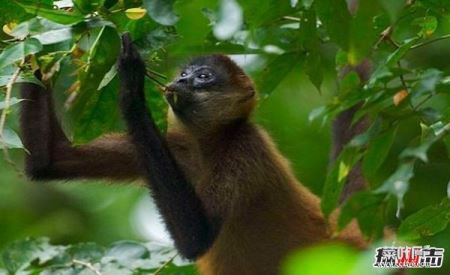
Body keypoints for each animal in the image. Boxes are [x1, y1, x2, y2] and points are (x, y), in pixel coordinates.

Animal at [19, 33, 368, 274]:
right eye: (185, 74)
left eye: (203, 76)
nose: (182, 79)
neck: (207, 148)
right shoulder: (177, 146)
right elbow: (50, 159)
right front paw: (33, 48)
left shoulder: (244, 148)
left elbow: (196, 236)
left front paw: (131, 86)